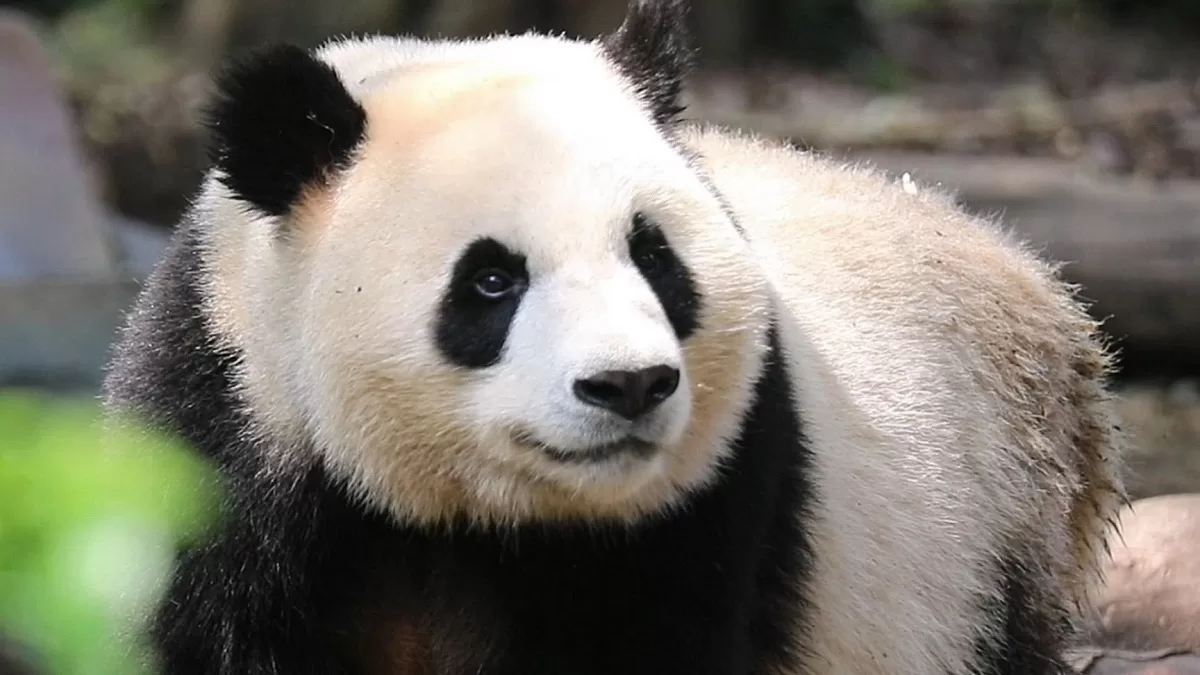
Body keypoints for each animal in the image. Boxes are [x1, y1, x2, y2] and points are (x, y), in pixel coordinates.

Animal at [102, 1, 1126, 673]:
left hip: (990, 539)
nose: (628, 385)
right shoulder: (233, 410)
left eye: (654, 256)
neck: (460, 511)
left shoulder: (702, 494)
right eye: (492, 280)